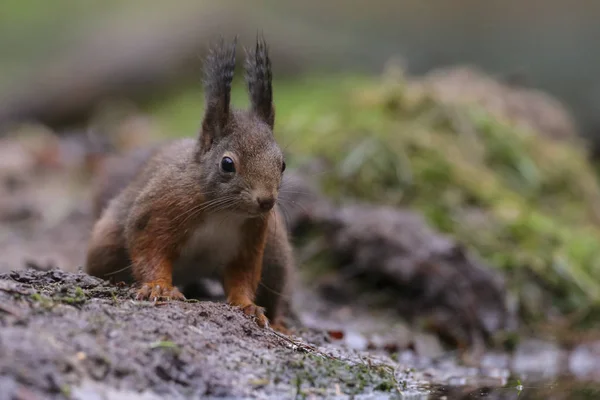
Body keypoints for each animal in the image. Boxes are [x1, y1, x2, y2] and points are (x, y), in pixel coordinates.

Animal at [85, 36, 296, 332]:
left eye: (283, 164)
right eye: (227, 164)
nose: (266, 201)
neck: (223, 211)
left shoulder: (253, 235)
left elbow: (243, 275)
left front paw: (247, 306)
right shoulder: (162, 208)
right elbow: (149, 249)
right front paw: (159, 287)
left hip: (276, 254)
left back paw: (278, 322)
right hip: (106, 245)